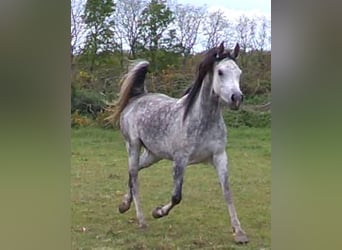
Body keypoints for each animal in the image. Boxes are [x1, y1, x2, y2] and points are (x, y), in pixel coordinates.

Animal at [107, 42, 248, 243]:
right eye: (220, 72)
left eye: (239, 72)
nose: (237, 98)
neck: (201, 119)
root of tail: (138, 97)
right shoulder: (180, 160)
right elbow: (176, 196)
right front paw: (157, 212)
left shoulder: (220, 156)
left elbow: (227, 192)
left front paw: (239, 232)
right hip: (132, 146)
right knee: (134, 176)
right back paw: (141, 220)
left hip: (153, 155)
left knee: (133, 173)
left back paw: (124, 205)